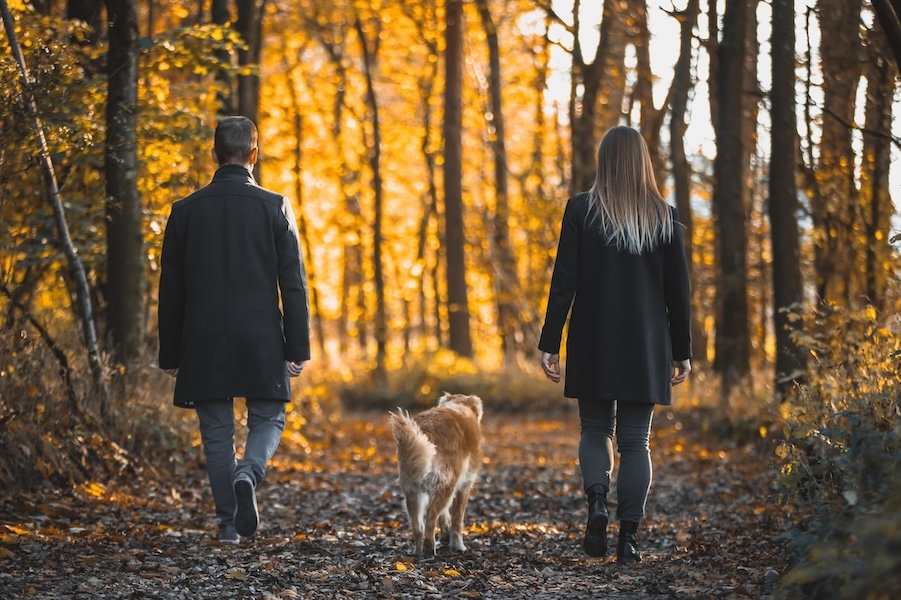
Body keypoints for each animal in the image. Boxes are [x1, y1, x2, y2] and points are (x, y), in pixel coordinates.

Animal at [388, 394, 482, 556]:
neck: (458, 404)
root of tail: (425, 430)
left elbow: (444, 516)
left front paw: (445, 534)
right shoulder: (464, 486)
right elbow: (457, 520)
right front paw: (458, 545)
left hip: (413, 494)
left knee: (418, 527)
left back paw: (418, 551)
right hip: (446, 486)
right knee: (430, 518)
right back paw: (429, 548)